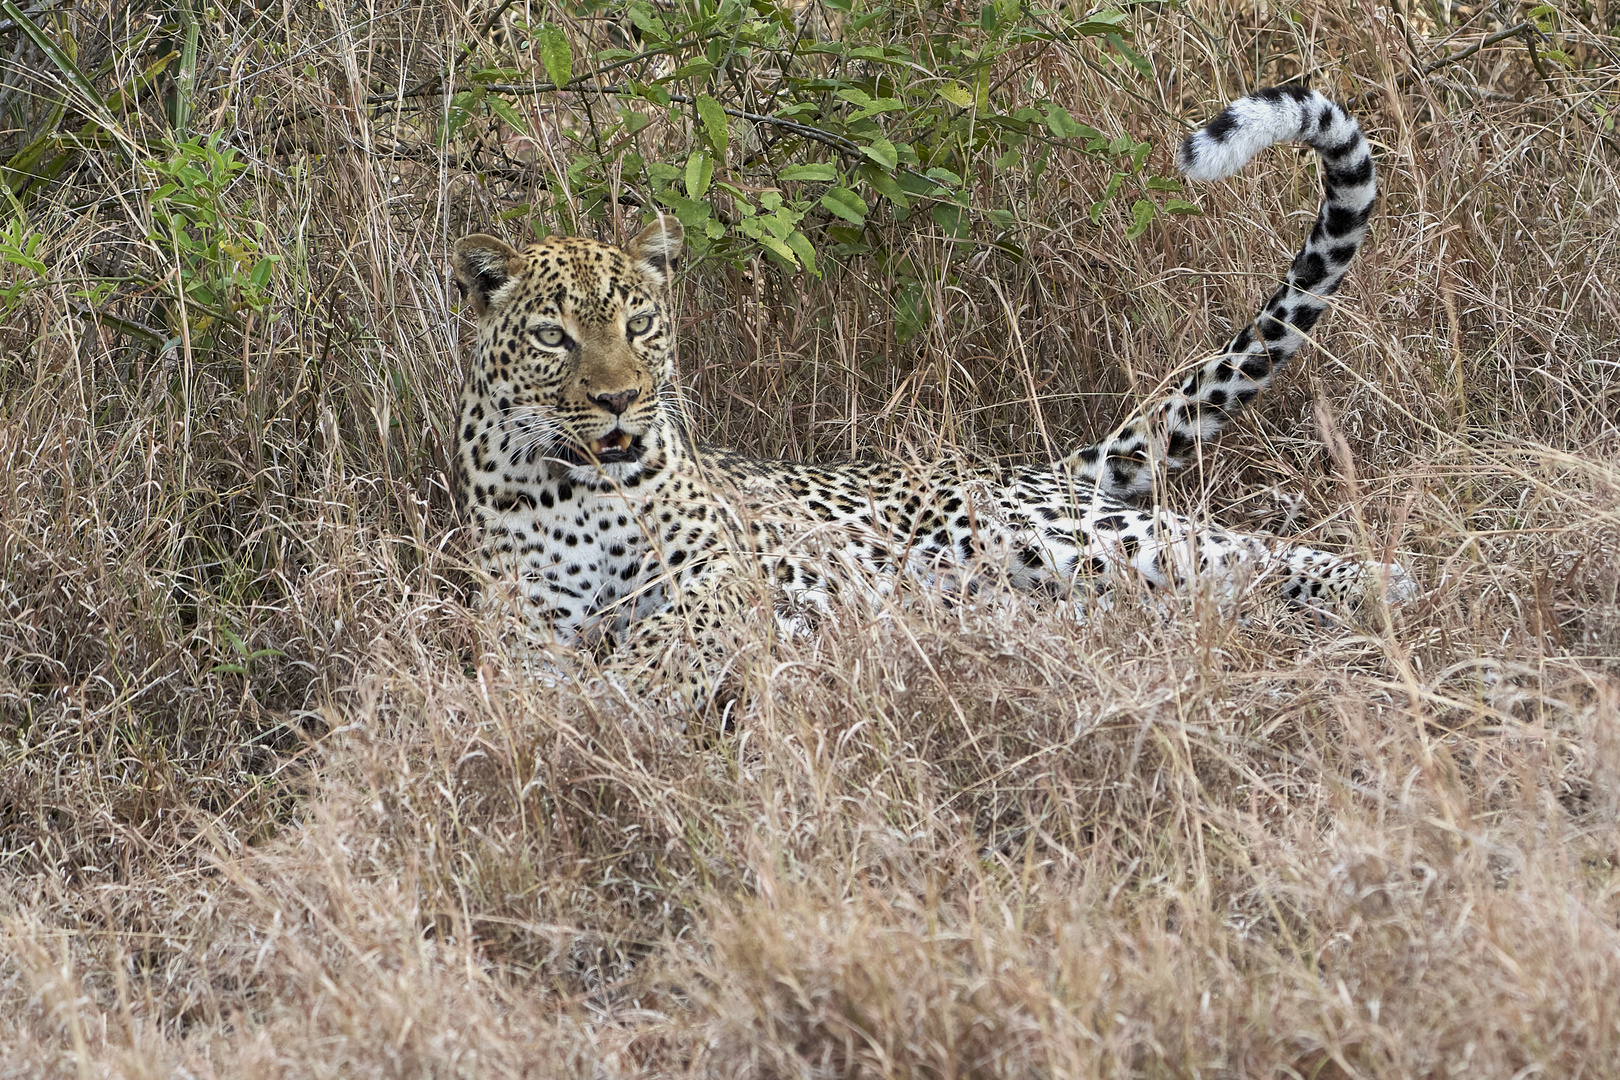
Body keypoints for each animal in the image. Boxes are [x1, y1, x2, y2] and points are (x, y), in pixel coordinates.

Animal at [450, 88, 1412, 705]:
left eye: (640, 323)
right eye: (555, 337)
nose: (619, 401)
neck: (583, 487)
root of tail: (1028, 465)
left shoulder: (722, 569)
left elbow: (679, 627)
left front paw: (630, 692)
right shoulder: (520, 617)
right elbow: (532, 670)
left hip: (1060, 535)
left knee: (1241, 550)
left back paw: (1386, 582)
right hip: (1035, 582)